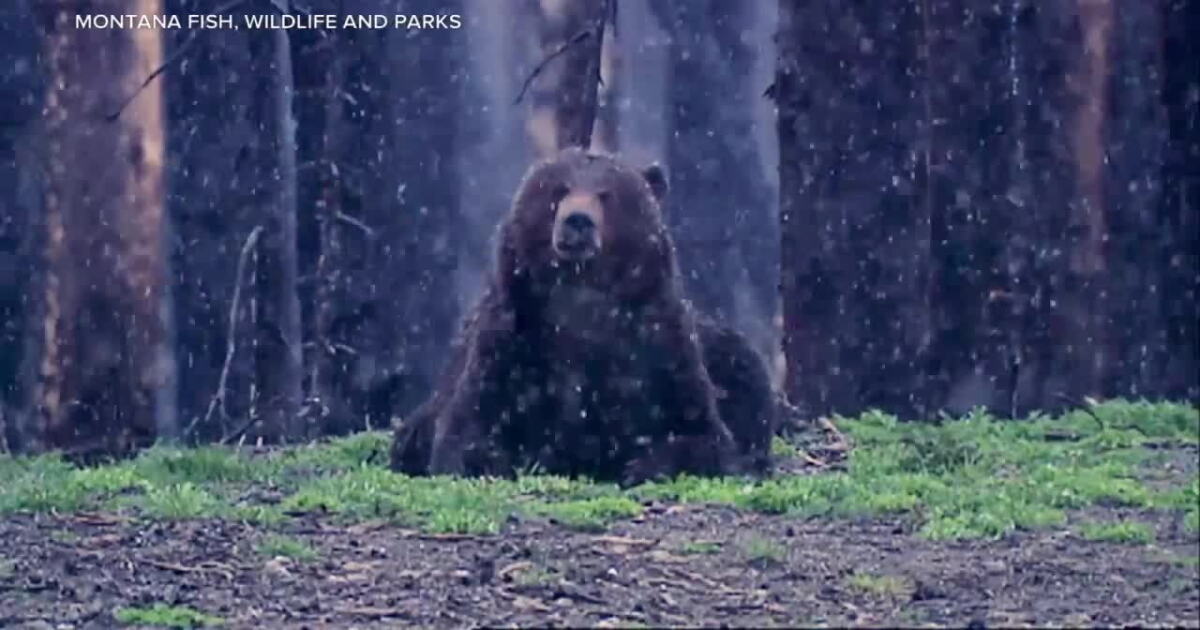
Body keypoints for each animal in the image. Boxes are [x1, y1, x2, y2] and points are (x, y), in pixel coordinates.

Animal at [390, 148, 777, 486]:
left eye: (606, 195)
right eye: (559, 189)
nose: (577, 220)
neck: (580, 298)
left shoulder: (659, 346)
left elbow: (703, 435)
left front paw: (641, 465)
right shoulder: (511, 340)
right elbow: (468, 430)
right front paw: (500, 461)